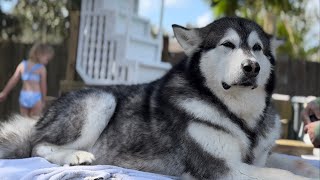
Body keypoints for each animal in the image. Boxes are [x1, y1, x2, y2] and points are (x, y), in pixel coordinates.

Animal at [0, 16, 320, 179]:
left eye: (257, 48)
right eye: (228, 45)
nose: (252, 67)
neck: (238, 114)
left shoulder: (259, 157)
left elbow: (298, 164)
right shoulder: (220, 168)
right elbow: (285, 176)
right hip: (100, 100)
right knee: (38, 146)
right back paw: (75, 156)